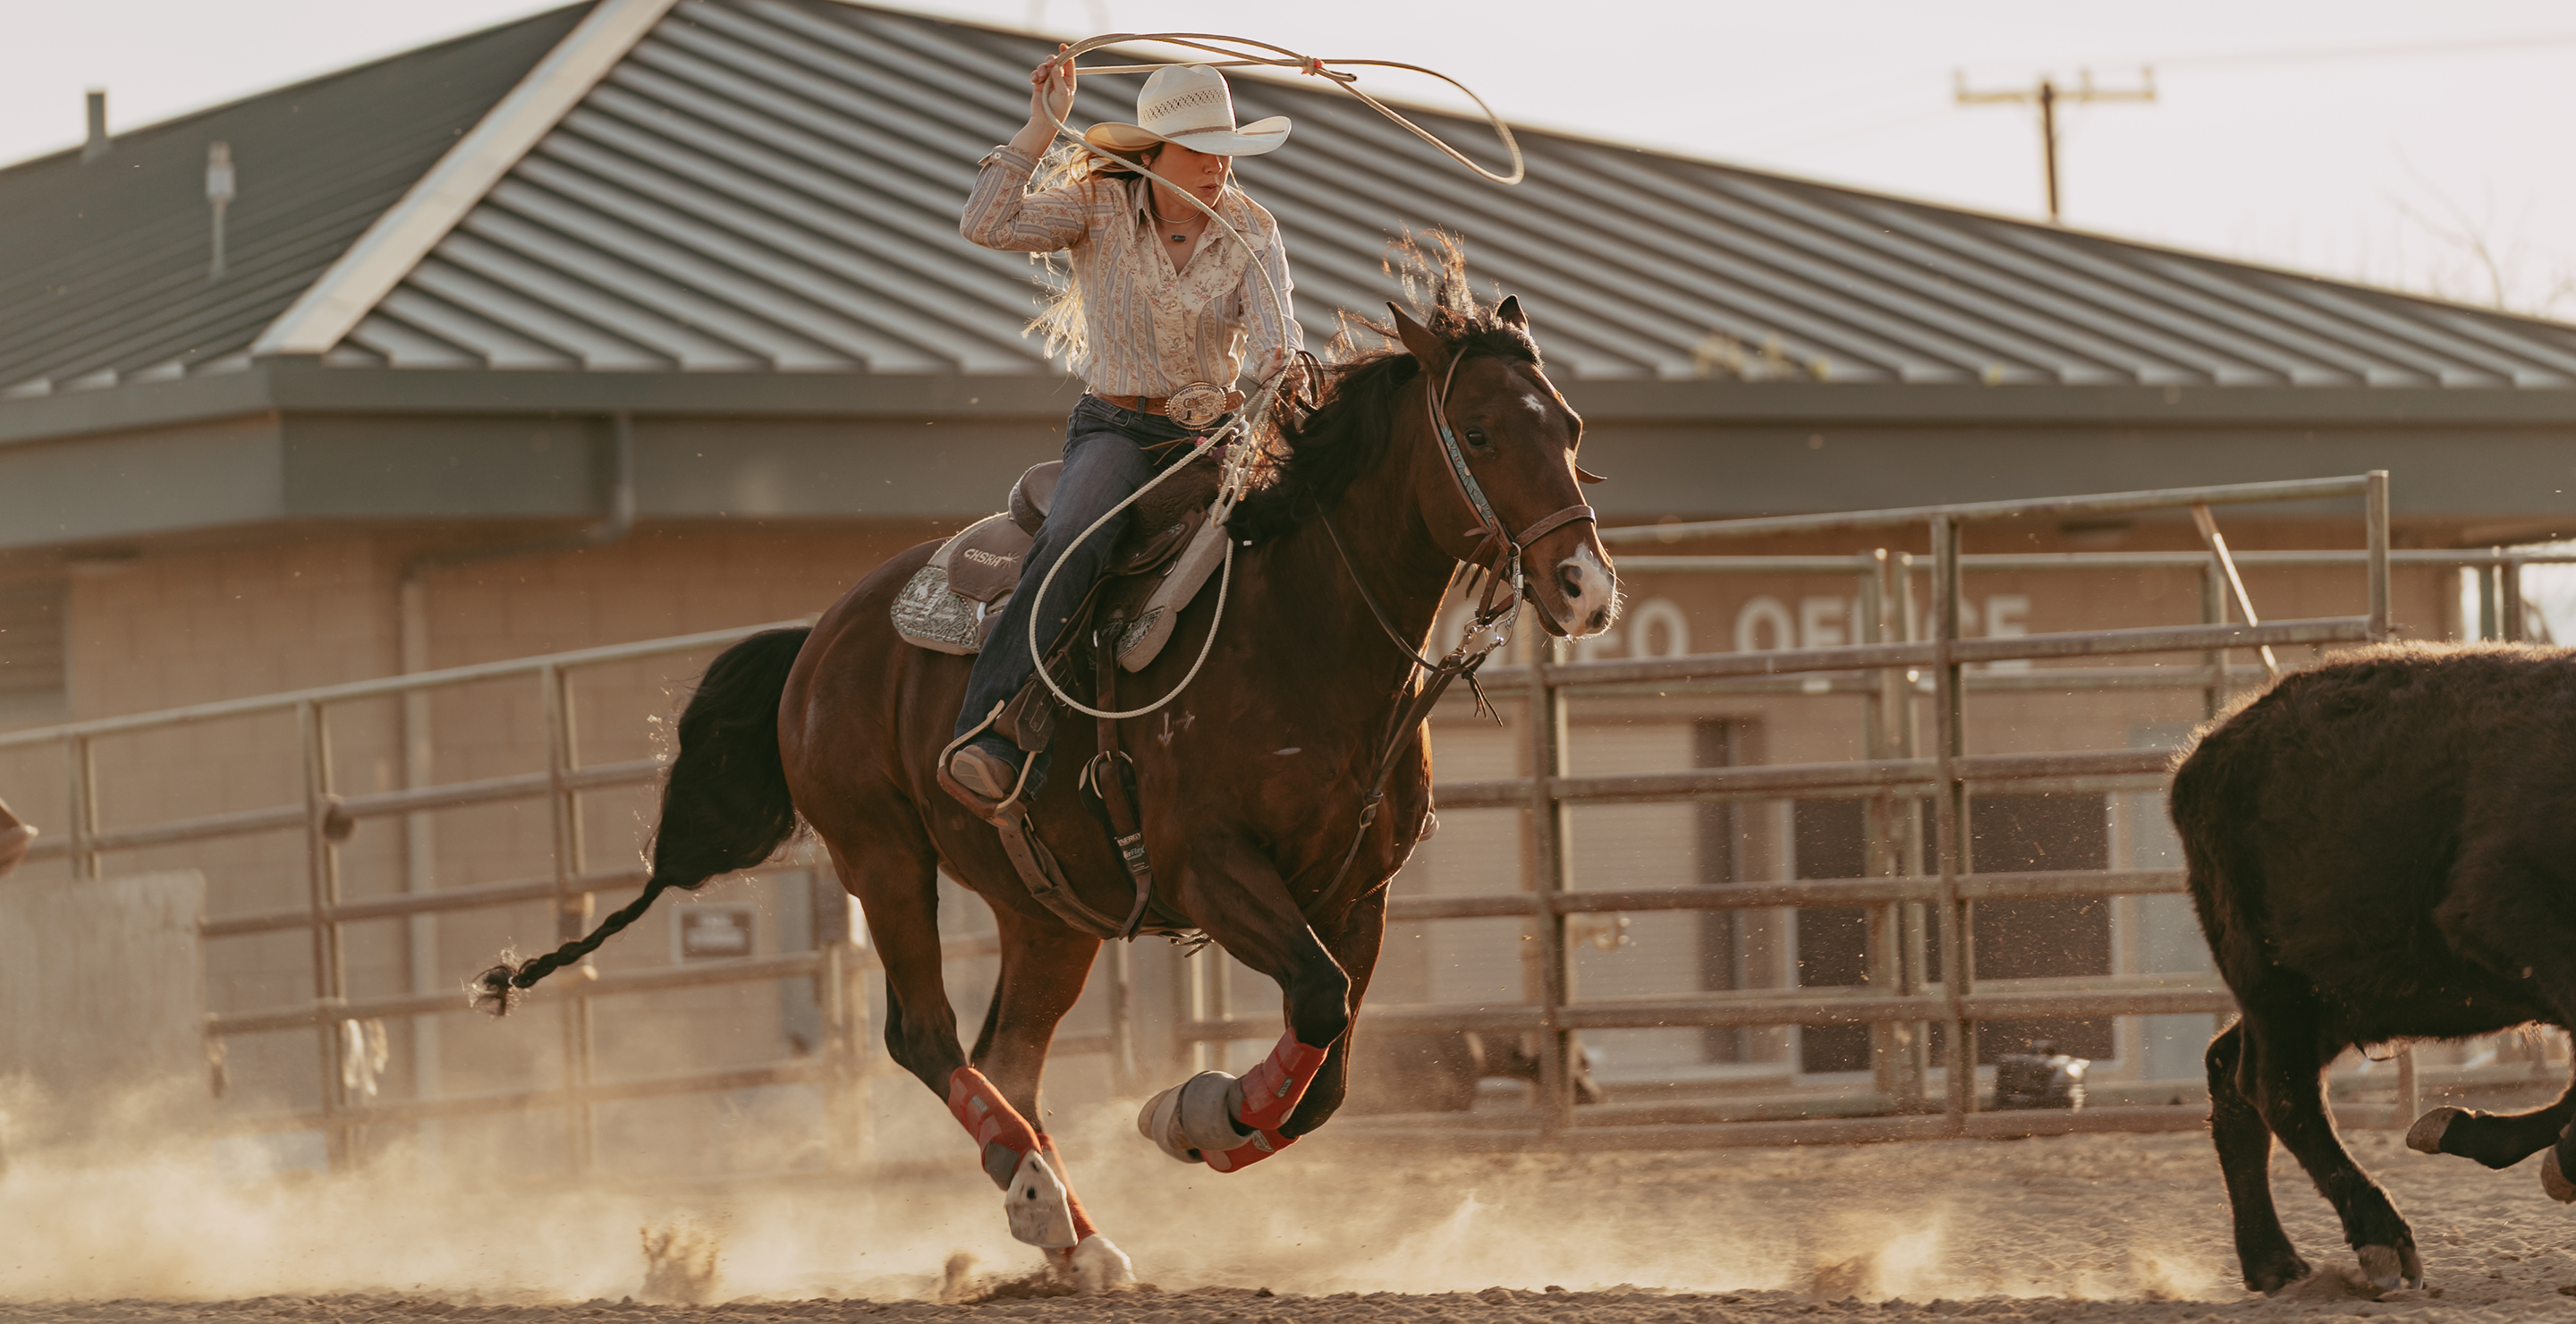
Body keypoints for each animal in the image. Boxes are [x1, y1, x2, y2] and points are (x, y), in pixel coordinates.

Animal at [473, 252, 1618, 1287]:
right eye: (1480, 431)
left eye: (1568, 428)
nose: (1585, 588)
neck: (1301, 629)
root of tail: (820, 636)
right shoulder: (1211, 865)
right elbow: (1319, 1003)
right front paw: (1192, 1113)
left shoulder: (1357, 893)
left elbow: (1329, 1058)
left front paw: (1200, 1118)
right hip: (881, 856)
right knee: (926, 1036)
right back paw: (1035, 1195)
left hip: (1049, 912)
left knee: (1008, 1053)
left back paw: (1074, 1231)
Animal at [2173, 643, 2576, 1294]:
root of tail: (2203, 756)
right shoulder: (2501, 910)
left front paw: (2464, 1130)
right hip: (2273, 984)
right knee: (2275, 1089)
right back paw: (2381, 1239)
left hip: (2332, 999)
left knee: (2231, 1074)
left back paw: (2273, 1261)